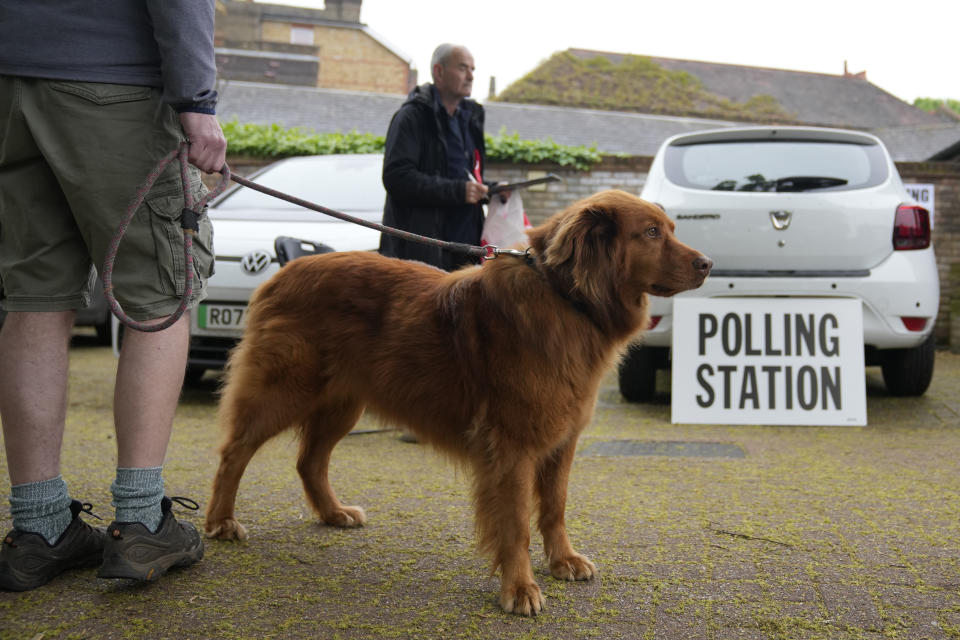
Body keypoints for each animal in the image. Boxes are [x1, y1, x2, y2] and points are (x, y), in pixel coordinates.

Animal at [206, 190, 708, 616]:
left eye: (670, 228)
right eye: (651, 233)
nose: (707, 263)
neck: (566, 298)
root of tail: (280, 273)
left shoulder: (562, 440)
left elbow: (555, 506)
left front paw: (562, 560)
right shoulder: (512, 446)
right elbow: (516, 523)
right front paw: (520, 588)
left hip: (343, 403)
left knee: (309, 460)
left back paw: (333, 513)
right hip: (284, 391)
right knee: (234, 453)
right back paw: (221, 522)